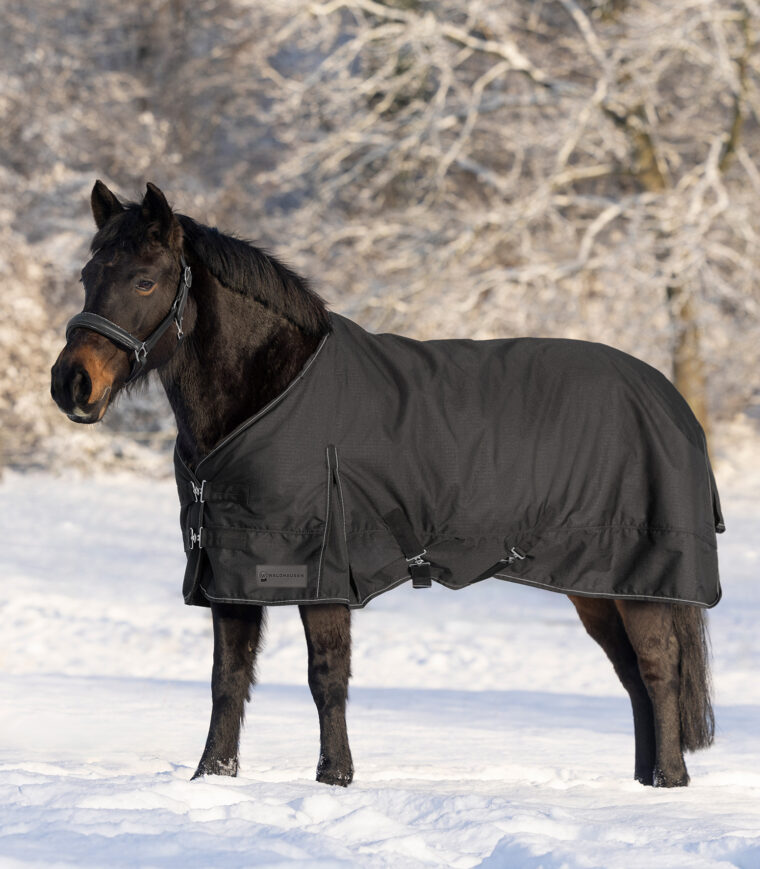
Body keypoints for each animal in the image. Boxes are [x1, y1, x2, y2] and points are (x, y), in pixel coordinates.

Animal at [52, 181, 720, 788]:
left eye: (144, 280)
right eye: (87, 275)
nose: (71, 384)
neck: (272, 394)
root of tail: (671, 401)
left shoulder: (319, 569)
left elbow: (326, 676)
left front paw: (334, 778)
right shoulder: (231, 569)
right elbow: (228, 680)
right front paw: (211, 778)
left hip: (638, 579)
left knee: (658, 670)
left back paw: (667, 783)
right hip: (597, 586)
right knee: (632, 676)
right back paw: (647, 782)